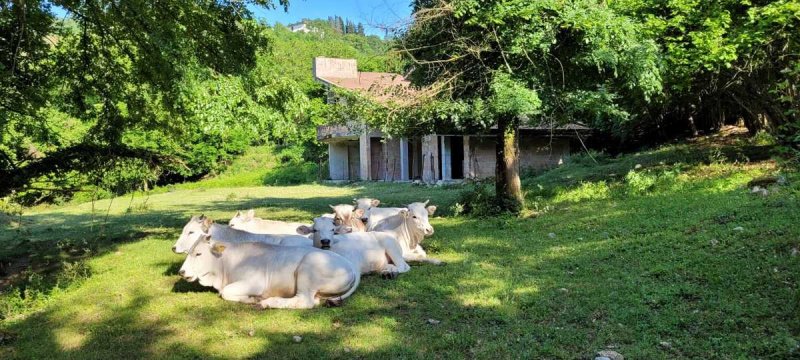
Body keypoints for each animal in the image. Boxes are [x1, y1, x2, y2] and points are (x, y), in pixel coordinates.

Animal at [180, 233, 360, 310]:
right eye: (189, 251)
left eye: (198, 253)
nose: (182, 272)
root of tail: (351, 266)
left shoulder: (255, 282)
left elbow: (225, 292)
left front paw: (252, 299)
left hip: (308, 269)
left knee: (305, 302)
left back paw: (268, 302)